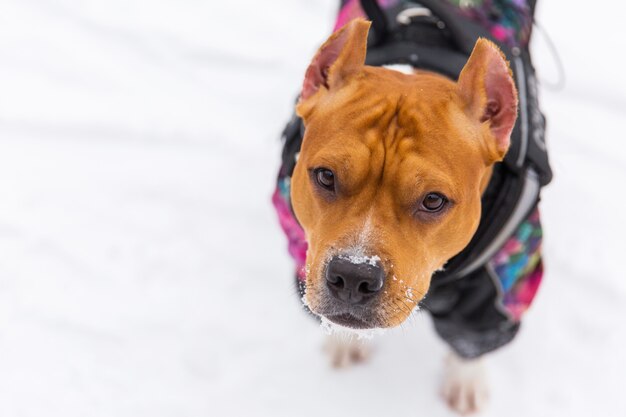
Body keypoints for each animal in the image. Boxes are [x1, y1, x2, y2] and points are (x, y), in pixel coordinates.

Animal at [270, 1, 548, 412]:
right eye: (325, 176)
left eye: (433, 200)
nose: (353, 275)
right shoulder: (302, 249)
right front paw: (343, 343)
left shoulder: (497, 285)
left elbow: (471, 338)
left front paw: (465, 381)